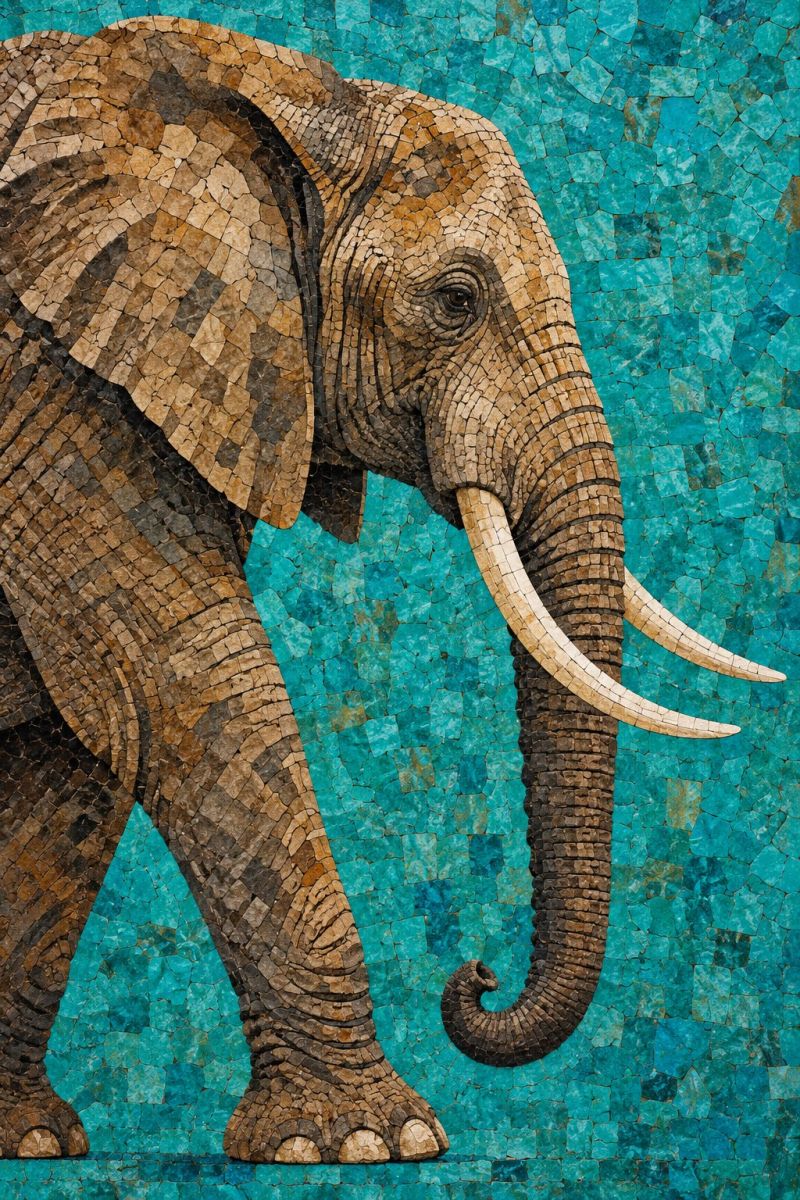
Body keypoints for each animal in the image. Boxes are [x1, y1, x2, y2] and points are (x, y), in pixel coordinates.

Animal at [0, 15, 784, 1165]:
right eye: (454, 302)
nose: (476, 976)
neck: (282, 93)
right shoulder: (54, 379)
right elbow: (176, 683)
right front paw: (373, 1141)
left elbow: (79, 745)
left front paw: (31, 1142)